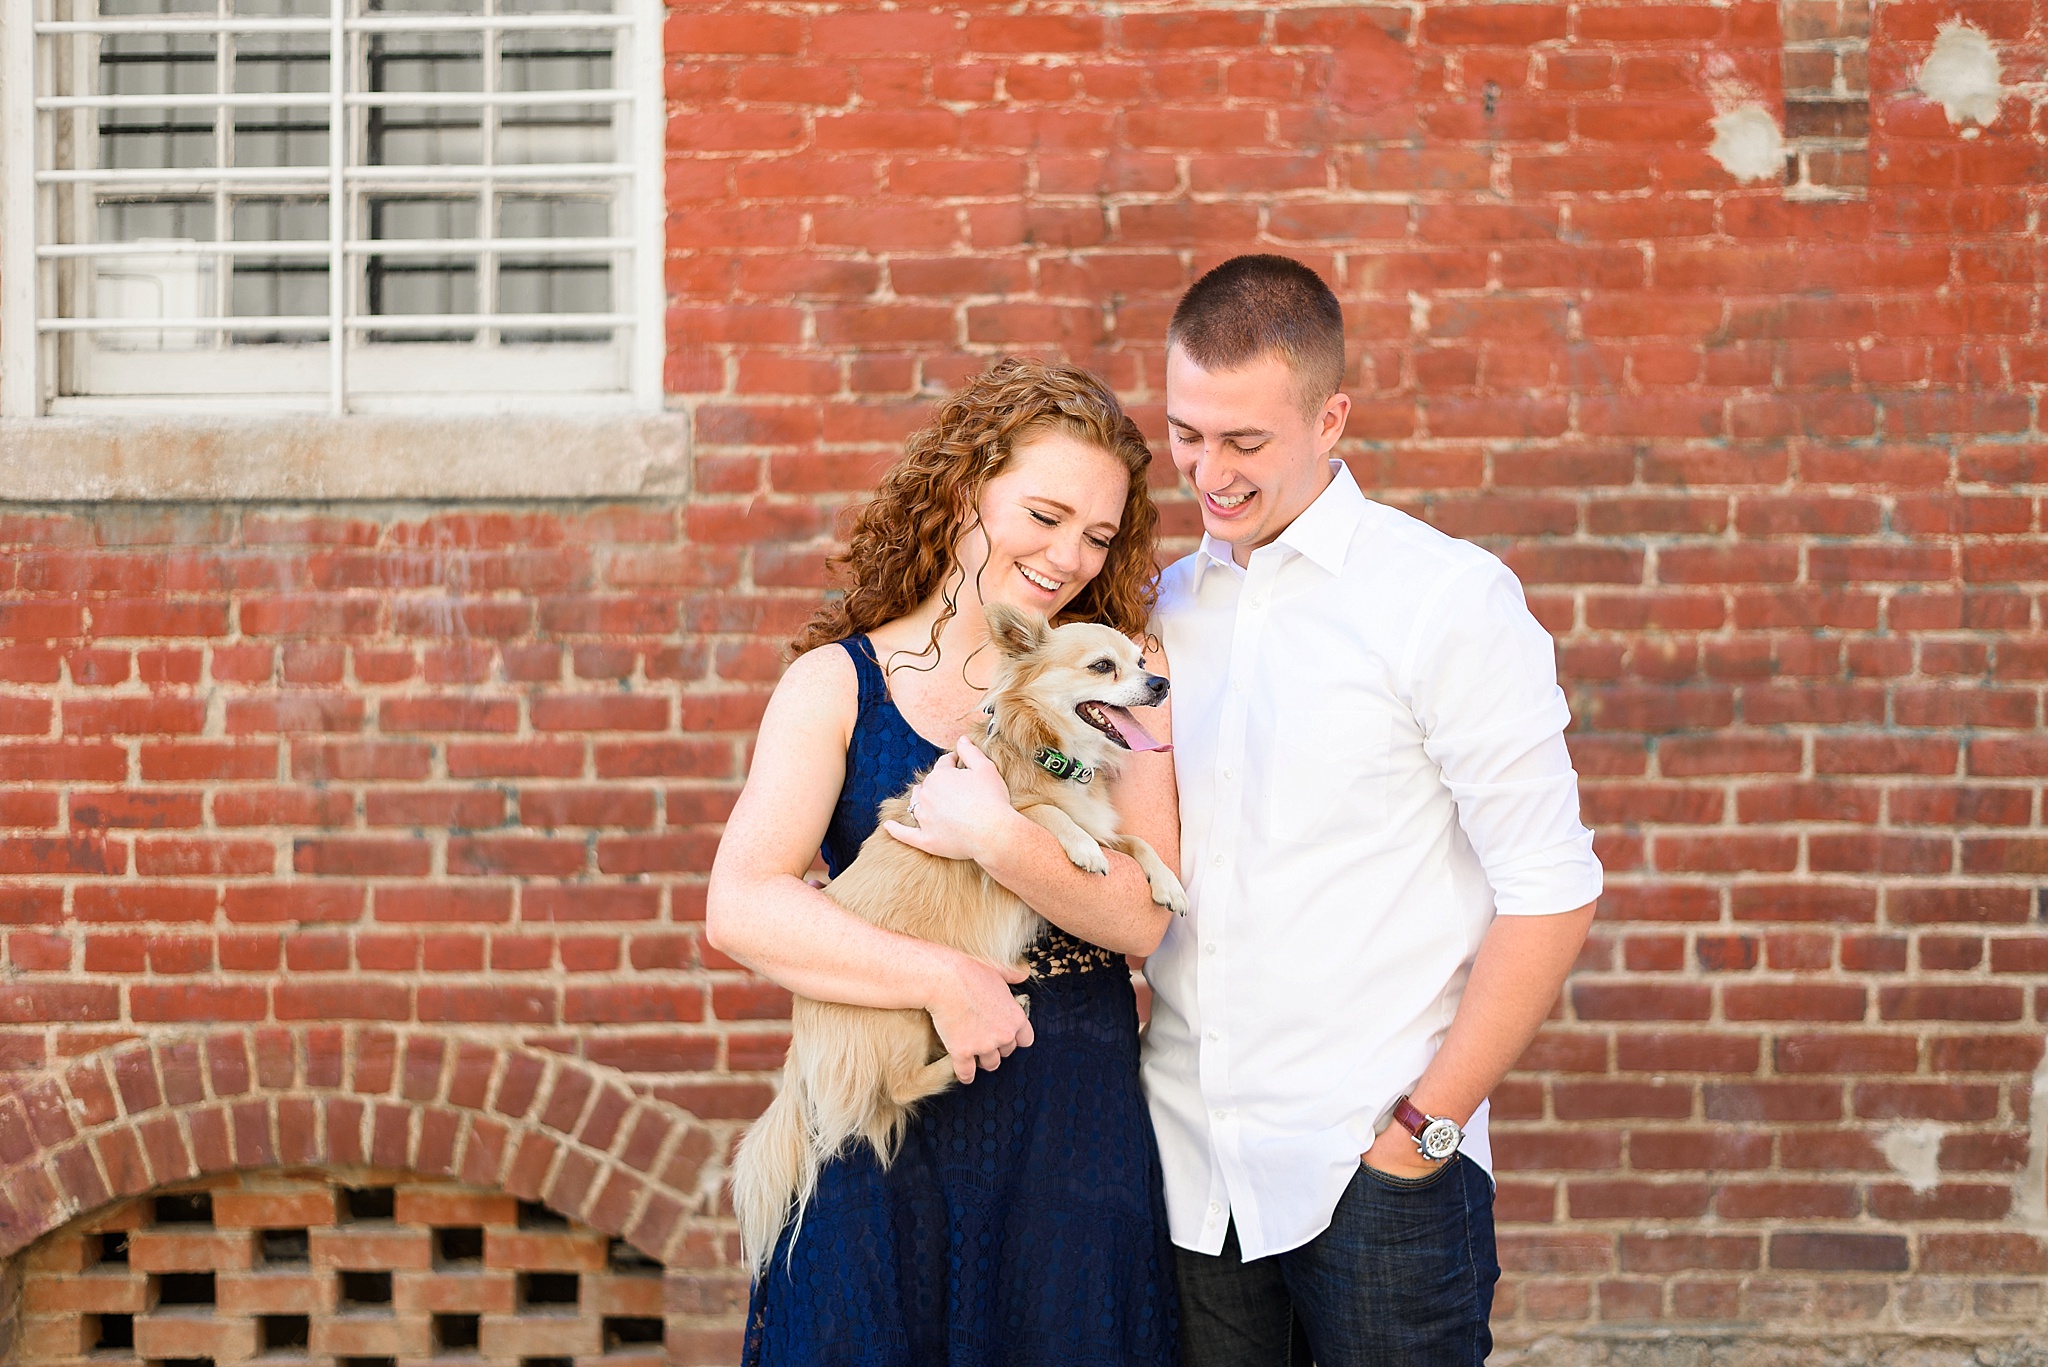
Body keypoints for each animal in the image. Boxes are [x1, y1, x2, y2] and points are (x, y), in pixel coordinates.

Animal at [733, 606, 1187, 1270]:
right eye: (1103, 666)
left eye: (1142, 660)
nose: (1160, 684)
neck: (1056, 758)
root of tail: (802, 1048)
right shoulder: (1012, 814)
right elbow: (1043, 816)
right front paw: (1079, 850)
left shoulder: (1110, 826)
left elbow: (1135, 842)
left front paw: (1168, 884)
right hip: (903, 1011)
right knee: (894, 1090)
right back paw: (966, 1052)